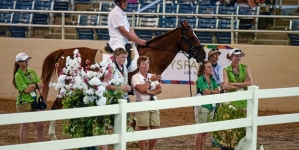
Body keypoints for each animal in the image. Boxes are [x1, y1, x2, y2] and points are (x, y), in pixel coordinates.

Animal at [41, 19, 206, 139]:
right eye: (191, 37)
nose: (203, 55)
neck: (152, 57)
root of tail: (65, 51)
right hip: (67, 87)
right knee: (56, 107)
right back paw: (53, 136)